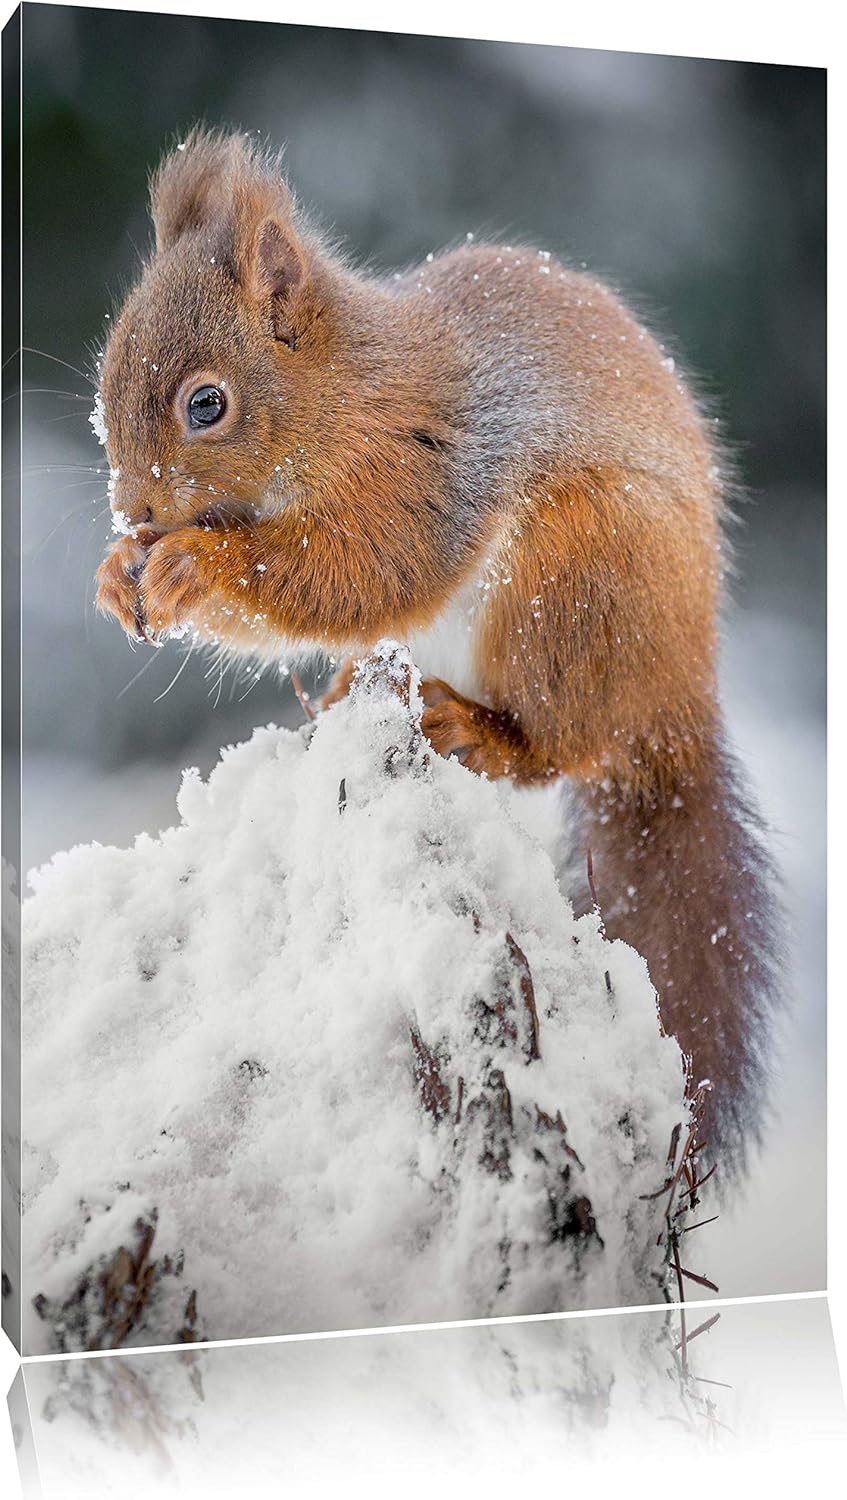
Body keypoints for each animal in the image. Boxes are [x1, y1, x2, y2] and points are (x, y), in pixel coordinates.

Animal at [94, 128, 779, 1166]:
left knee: (562, 746)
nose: (133, 512)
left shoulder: (422, 471)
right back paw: (352, 693)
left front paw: (194, 567)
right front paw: (115, 575)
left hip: (573, 583)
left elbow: (355, 571)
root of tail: (675, 691)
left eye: (206, 405)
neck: (343, 392)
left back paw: (476, 730)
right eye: (106, 375)